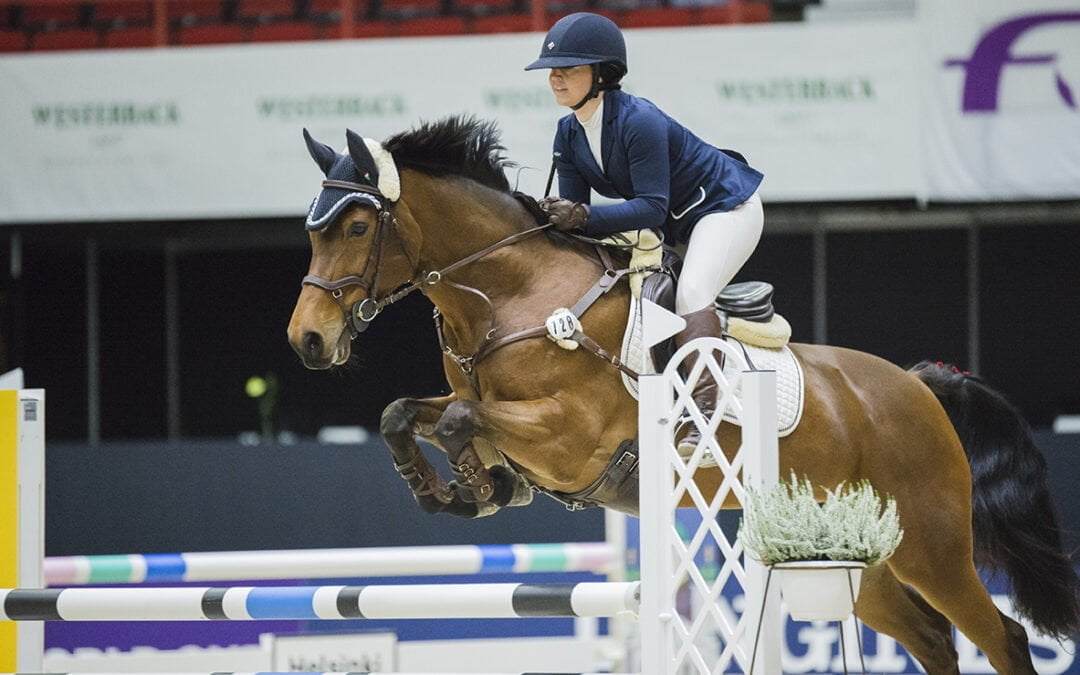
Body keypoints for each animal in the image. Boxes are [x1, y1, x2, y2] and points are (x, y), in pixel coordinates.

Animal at [286, 116, 1079, 674]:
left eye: (356, 225)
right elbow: (404, 413)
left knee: (1003, 638)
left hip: (931, 544)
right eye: (314, 231)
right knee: (934, 640)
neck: (511, 295)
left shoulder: (570, 436)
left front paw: (479, 485)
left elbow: (457, 418)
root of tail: (919, 386)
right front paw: (457, 488)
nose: (308, 341)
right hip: (852, 557)